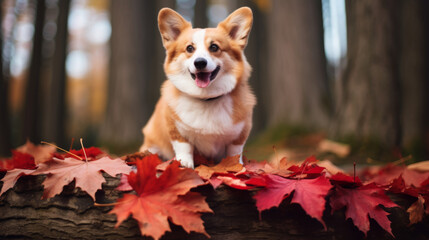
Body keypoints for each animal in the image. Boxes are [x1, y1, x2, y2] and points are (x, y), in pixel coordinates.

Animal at [140, 7, 254, 169]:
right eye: (189, 48)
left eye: (214, 47)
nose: (200, 62)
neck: (205, 98)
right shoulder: (175, 128)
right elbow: (183, 146)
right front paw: (184, 163)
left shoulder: (240, 133)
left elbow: (235, 151)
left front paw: (235, 164)